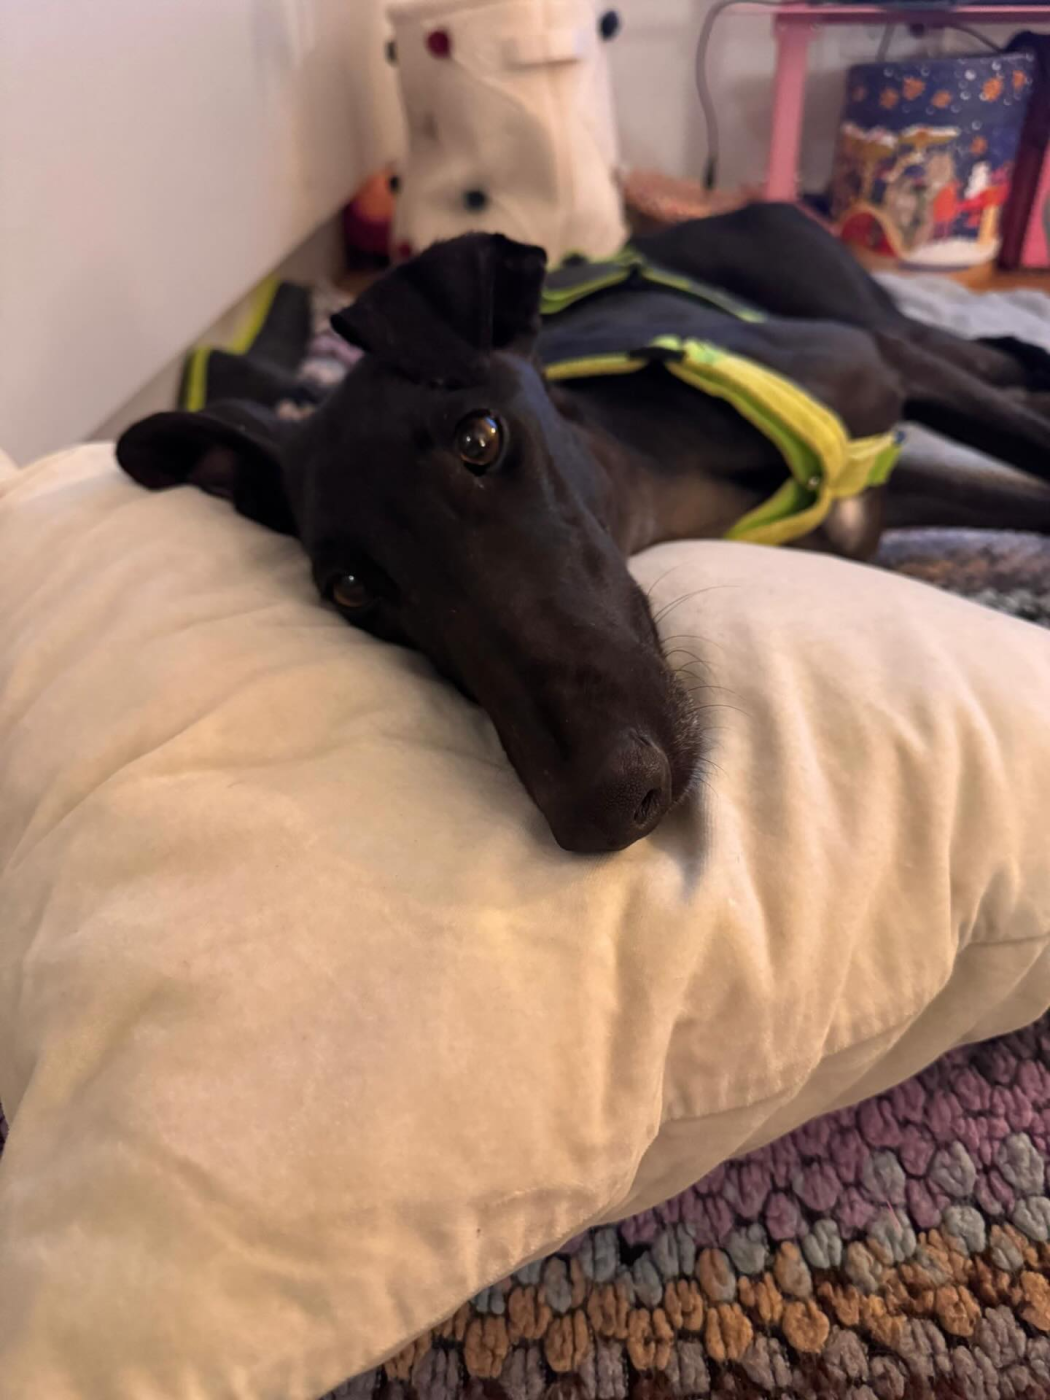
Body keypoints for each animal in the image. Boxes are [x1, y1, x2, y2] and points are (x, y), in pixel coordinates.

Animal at [117, 204, 1050, 854]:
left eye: (481, 439)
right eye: (350, 590)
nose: (606, 808)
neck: (667, 473)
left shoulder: (890, 378)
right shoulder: (880, 495)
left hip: (879, 323)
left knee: (993, 351)